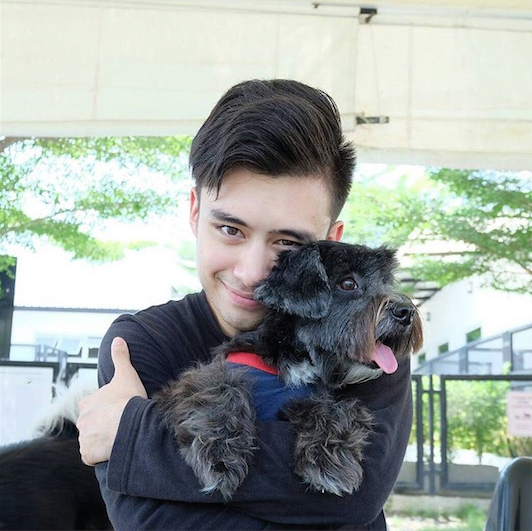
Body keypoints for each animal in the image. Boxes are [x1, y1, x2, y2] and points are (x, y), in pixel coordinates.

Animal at [156, 241, 423, 500]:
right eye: (348, 283)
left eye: (385, 281)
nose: (406, 311)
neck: (295, 358)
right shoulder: (194, 380)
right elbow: (216, 384)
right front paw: (219, 451)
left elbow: (335, 408)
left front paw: (329, 461)